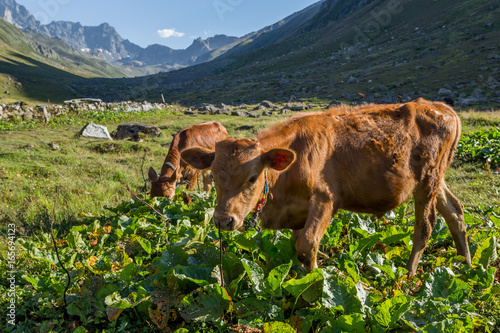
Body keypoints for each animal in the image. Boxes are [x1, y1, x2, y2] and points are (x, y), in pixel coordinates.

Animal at [182, 97, 470, 274]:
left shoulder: (325, 199)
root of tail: (441, 107)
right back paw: (466, 265)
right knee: (455, 212)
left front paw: (317, 288)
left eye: (252, 178)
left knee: (426, 226)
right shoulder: (297, 213)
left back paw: (409, 275)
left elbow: (306, 247)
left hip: (427, 181)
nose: (223, 220)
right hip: (437, 180)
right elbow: (295, 248)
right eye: (214, 176)